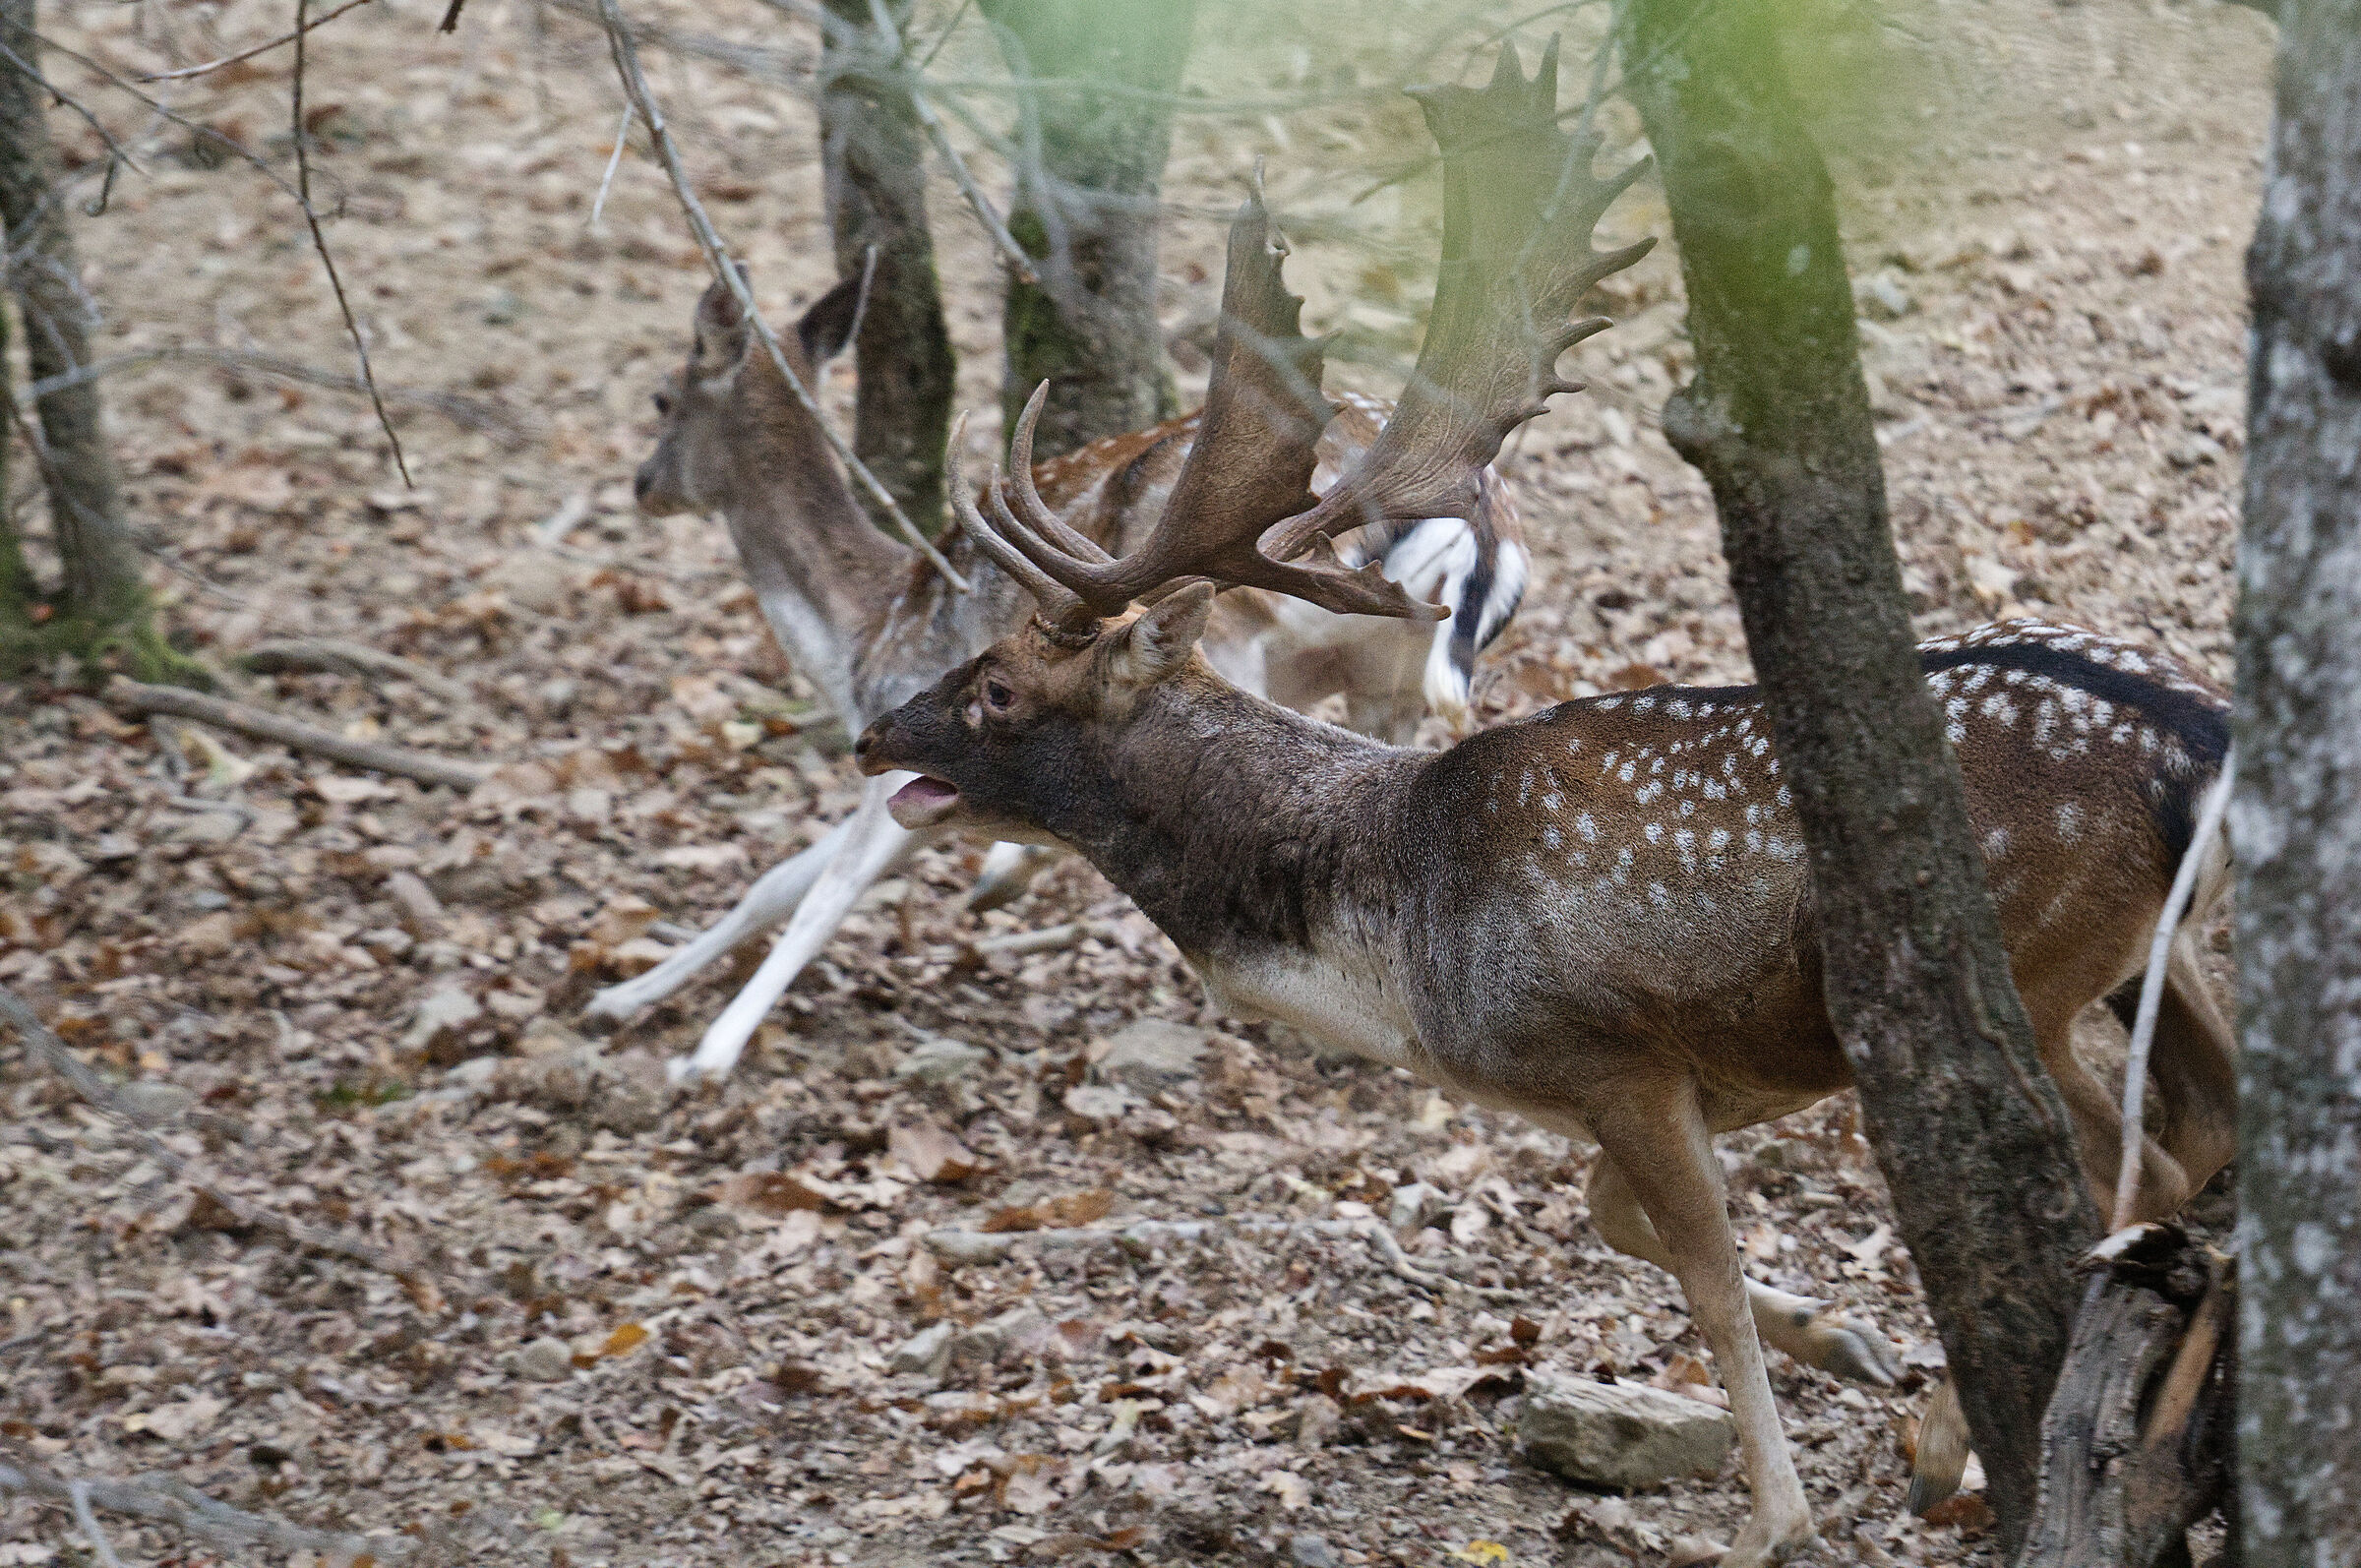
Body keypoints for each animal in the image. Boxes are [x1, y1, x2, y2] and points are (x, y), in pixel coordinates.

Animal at [585, 254, 1528, 1085]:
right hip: (1388, 677)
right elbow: (777, 881)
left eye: (663, 396)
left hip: (1233, 631)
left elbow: (828, 887)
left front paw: (705, 1056)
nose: (641, 483)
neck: (860, 635)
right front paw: (619, 999)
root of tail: (1483, 523)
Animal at [850, 42, 2239, 1563]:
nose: (871, 732)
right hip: (2152, 952)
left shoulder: (1611, 1048)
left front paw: (1780, 1514)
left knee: (2133, 1168)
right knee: (2208, 1120)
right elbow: (1617, 1218)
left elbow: (1701, 1269)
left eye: (993, 686)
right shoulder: (1683, 1081)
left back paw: (1974, 1441)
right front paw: (1854, 1345)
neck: (1396, 946)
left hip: (2037, 964)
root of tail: (2204, 738)